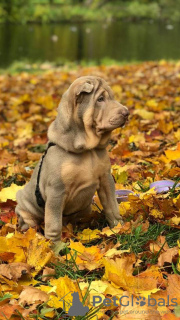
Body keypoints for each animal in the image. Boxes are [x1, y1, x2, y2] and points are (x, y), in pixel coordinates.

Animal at [15, 77, 128, 242]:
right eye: (100, 99)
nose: (127, 112)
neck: (87, 149)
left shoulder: (106, 180)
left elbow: (112, 206)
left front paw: (120, 227)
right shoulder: (56, 191)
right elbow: (54, 224)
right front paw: (55, 247)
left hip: (85, 207)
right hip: (25, 205)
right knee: (29, 222)